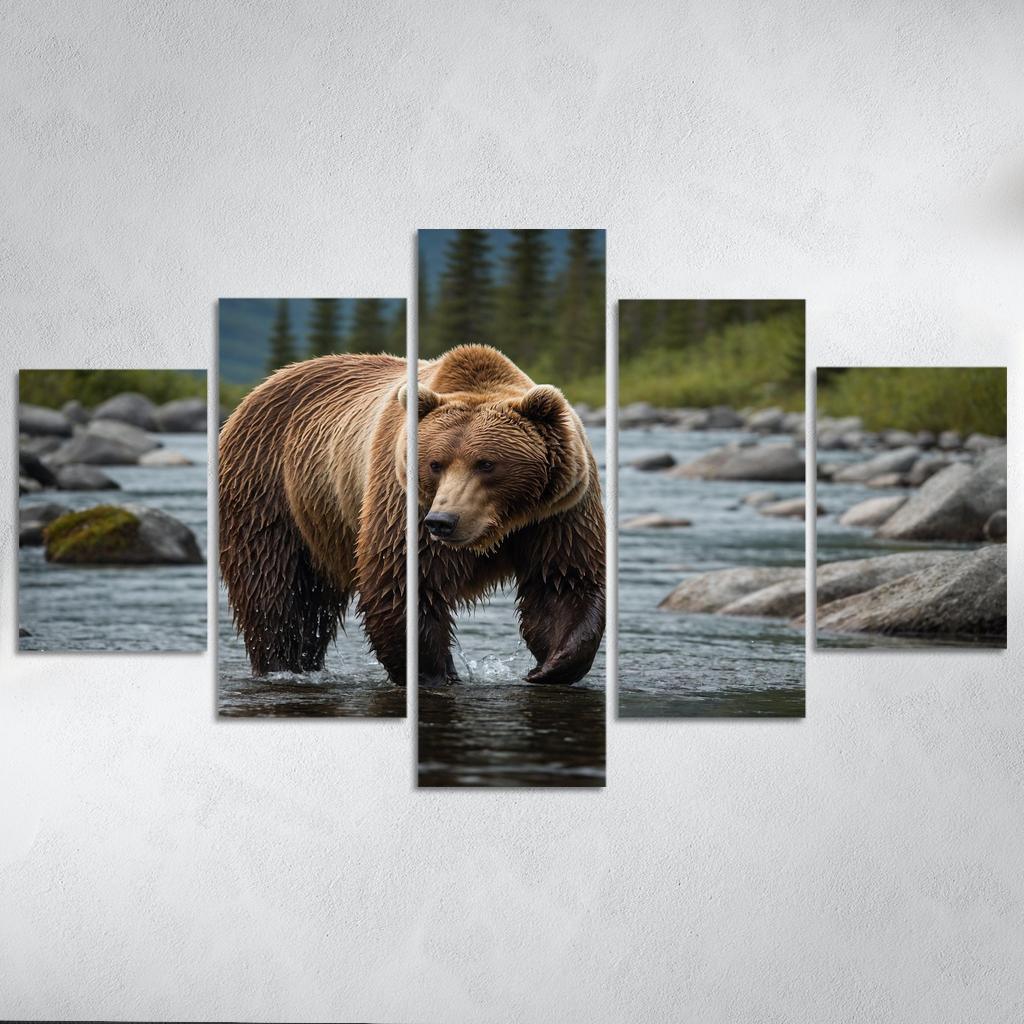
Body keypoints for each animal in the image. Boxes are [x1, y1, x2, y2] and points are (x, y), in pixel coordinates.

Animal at [218, 345, 605, 687]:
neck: (498, 525)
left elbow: (561, 582)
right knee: (274, 589)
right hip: (270, 489)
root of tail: (265, 384)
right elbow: (403, 584)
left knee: (313, 603)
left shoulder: (557, 513)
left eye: (487, 463)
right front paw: (437, 674)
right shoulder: (404, 503)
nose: (444, 521)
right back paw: (281, 664)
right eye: (435, 463)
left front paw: (550, 667)